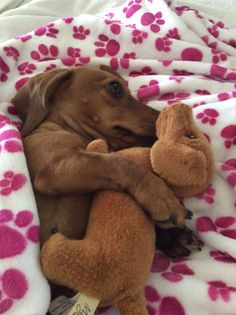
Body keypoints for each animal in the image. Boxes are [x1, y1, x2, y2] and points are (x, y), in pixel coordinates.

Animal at [12, 65, 188, 247]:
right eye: (115, 87)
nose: (168, 119)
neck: (65, 127)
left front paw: (172, 238)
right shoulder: (55, 168)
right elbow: (121, 163)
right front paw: (162, 197)